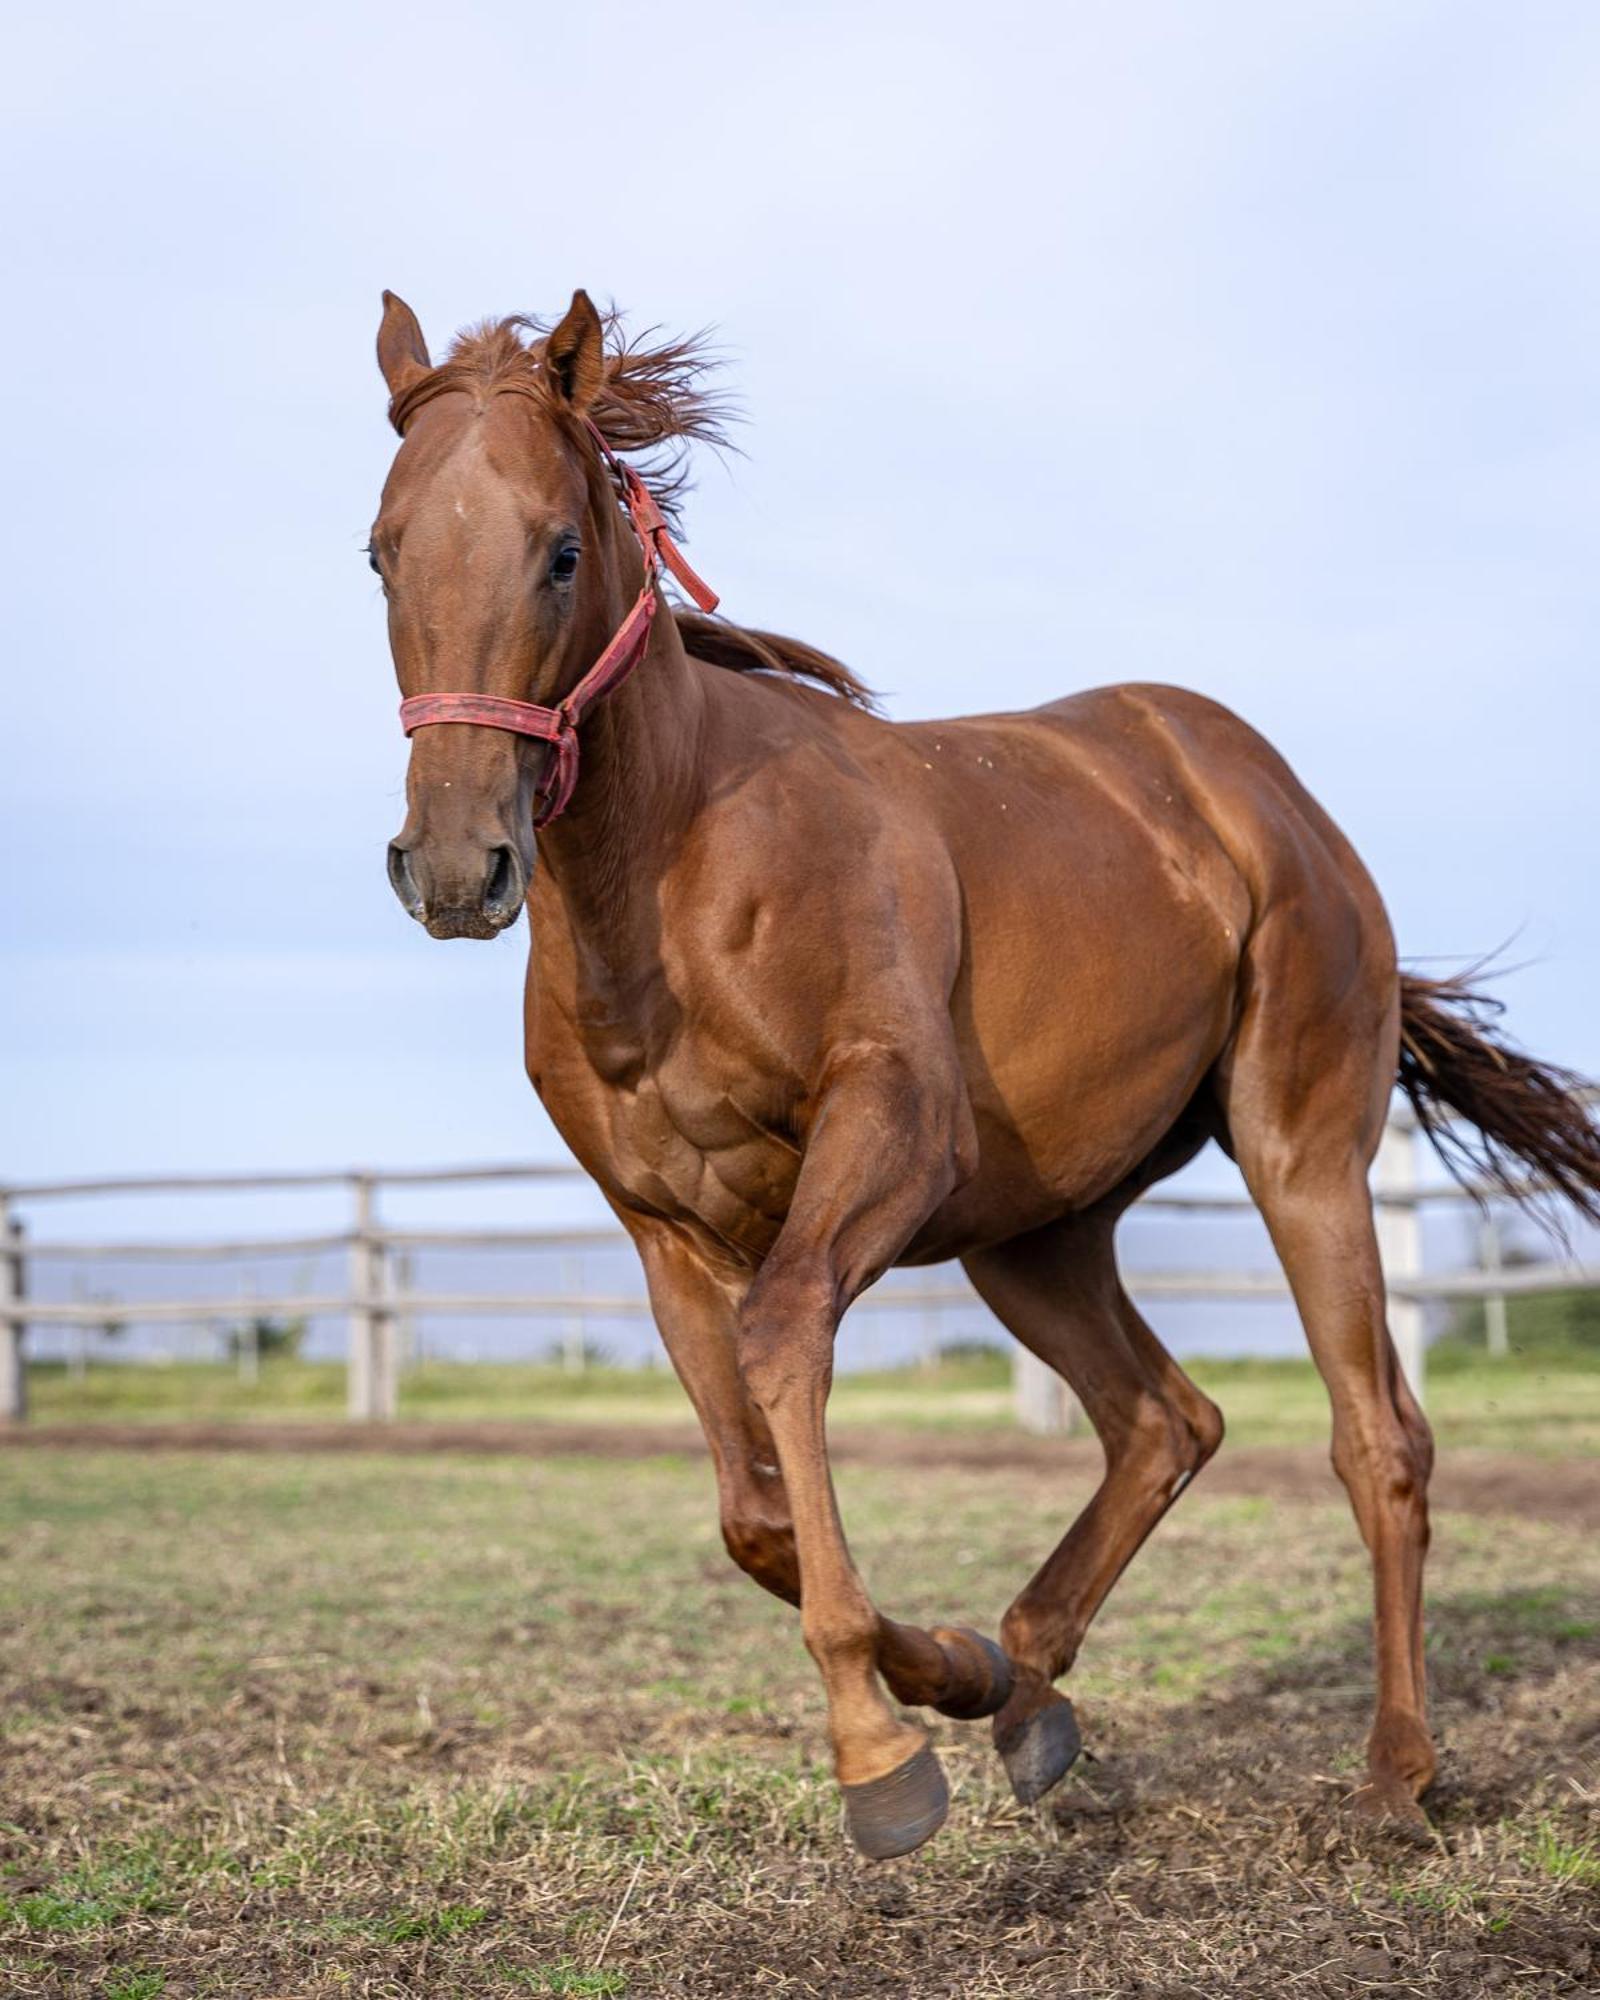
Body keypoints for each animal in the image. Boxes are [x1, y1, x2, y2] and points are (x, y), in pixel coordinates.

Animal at [366, 286, 1600, 1856]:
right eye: (382, 550)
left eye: (561, 549)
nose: (454, 865)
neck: (685, 869)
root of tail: (1264, 791)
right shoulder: (660, 1228)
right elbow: (751, 1513)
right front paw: (946, 1676)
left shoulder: (887, 1132)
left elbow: (786, 1343)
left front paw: (877, 1754)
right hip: (1036, 1230)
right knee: (1165, 1418)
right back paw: (1023, 1687)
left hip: (1299, 1149)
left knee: (1377, 1437)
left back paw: (1394, 1772)